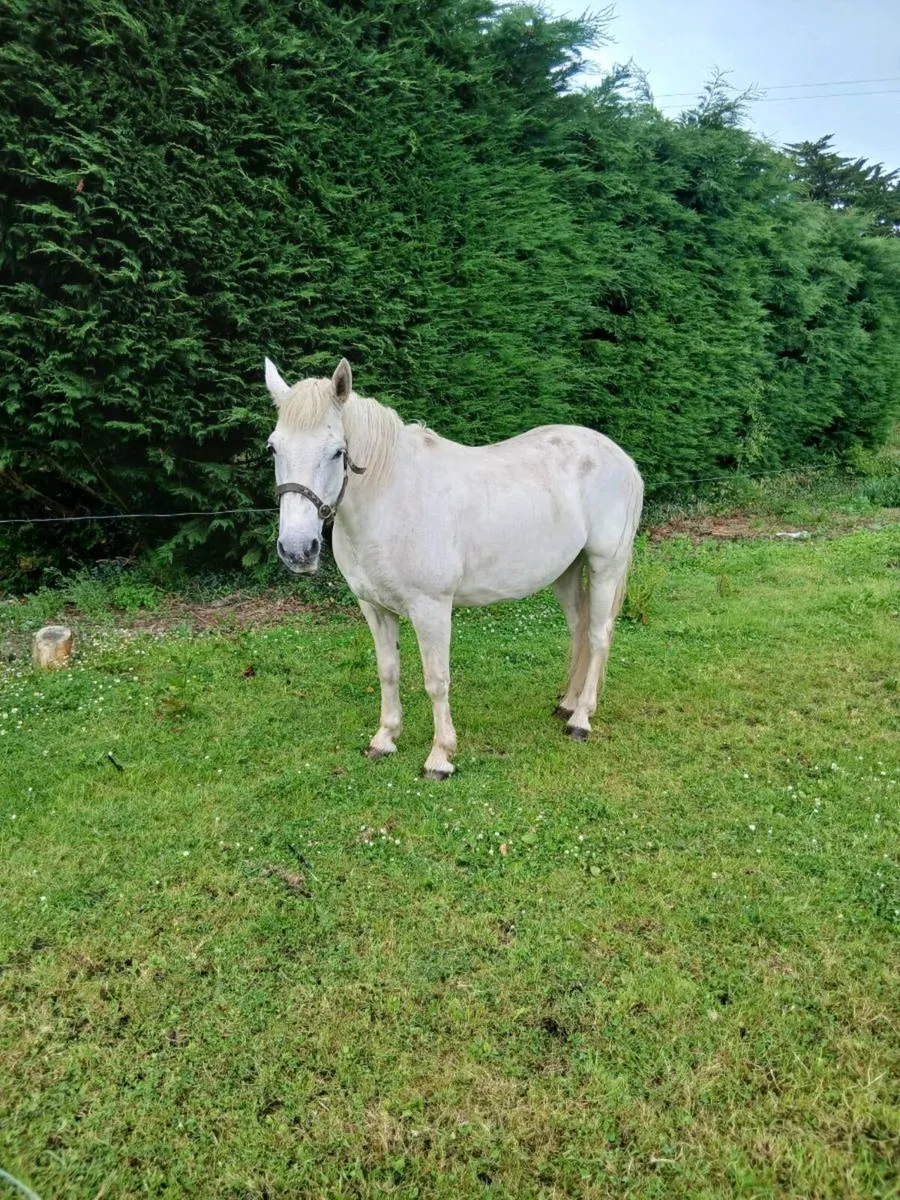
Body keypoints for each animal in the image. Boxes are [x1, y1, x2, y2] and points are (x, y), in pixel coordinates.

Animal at [265, 357, 644, 779]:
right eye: (273, 447)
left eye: (336, 452)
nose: (297, 549)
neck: (390, 499)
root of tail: (622, 459)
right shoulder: (374, 608)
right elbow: (388, 671)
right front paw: (384, 739)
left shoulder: (431, 608)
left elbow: (436, 680)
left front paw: (440, 757)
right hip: (566, 571)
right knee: (578, 629)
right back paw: (568, 704)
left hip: (605, 565)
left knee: (597, 635)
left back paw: (581, 719)